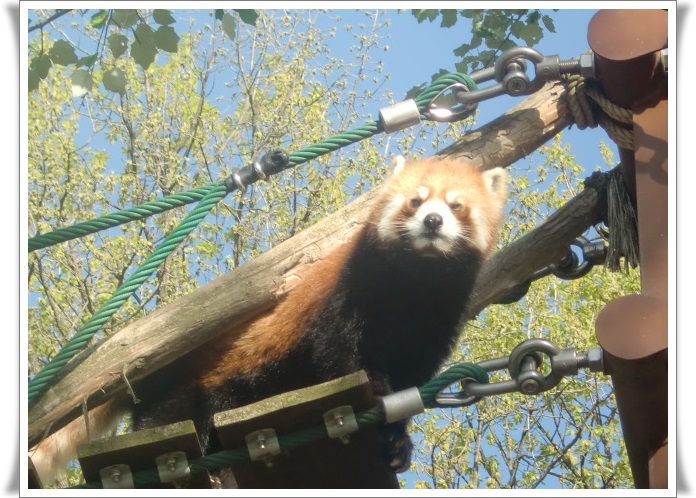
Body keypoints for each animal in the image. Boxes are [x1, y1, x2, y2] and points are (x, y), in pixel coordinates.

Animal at [29, 156, 508, 486]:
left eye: (456, 206)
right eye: (415, 201)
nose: (432, 220)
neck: (415, 283)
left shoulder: (435, 321)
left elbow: (412, 377)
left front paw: (397, 438)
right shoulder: (346, 298)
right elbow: (340, 357)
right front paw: (375, 395)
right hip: (187, 390)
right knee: (171, 420)